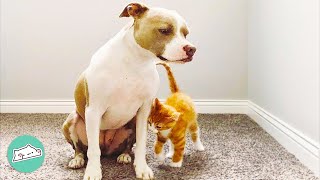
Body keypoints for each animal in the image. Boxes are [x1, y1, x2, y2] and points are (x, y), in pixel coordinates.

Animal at [61, 3, 196, 180]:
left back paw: (124, 155)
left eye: (186, 34)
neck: (135, 61)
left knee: (127, 146)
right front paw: (93, 172)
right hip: (72, 119)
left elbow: (141, 144)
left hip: (132, 121)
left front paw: (142, 168)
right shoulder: (93, 110)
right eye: (164, 30)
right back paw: (77, 159)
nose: (192, 49)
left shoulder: (144, 111)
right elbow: (93, 150)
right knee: (81, 148)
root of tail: (107, 149)